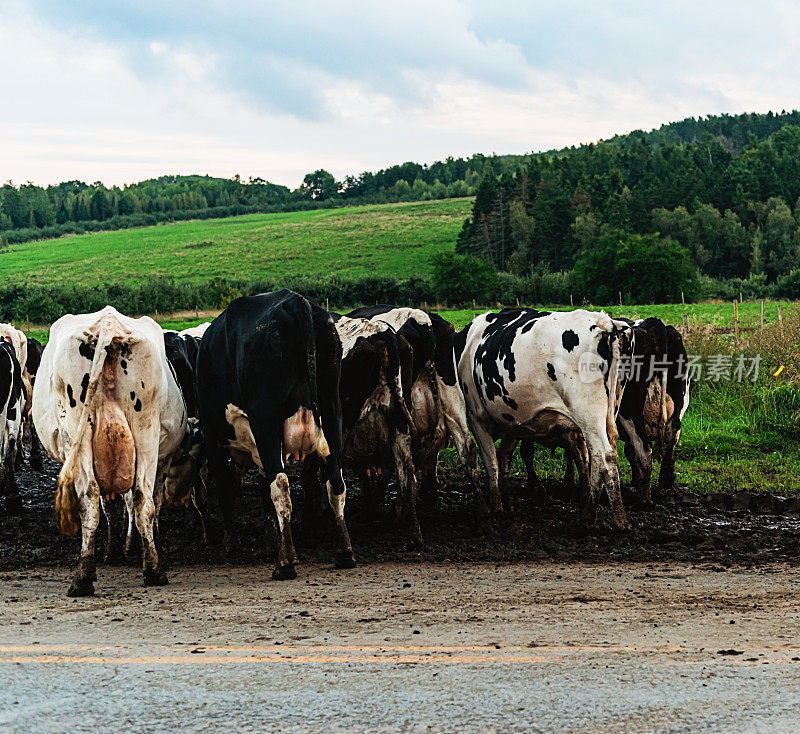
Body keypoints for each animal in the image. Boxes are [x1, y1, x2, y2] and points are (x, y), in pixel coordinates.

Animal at [195, 288, 354, 580]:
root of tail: (297, 301)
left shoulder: (215, 438)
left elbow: (226, 489)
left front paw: (231, 544)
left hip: (266, 420)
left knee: (281, 486)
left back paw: (285, 562)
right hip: (331, 410)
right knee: (335, 482)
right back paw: (344, 552)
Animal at [456, 310, 632, 528]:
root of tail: (603, 321)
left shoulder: (476, 416)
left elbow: (491, 463)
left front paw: (495, 509)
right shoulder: (513, 422)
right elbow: (504, 455)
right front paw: (508, 503)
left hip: (589, 415)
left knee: (603, 456)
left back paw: (614, 519)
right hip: (609, 413)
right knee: (602, 454)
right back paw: (589, 513)